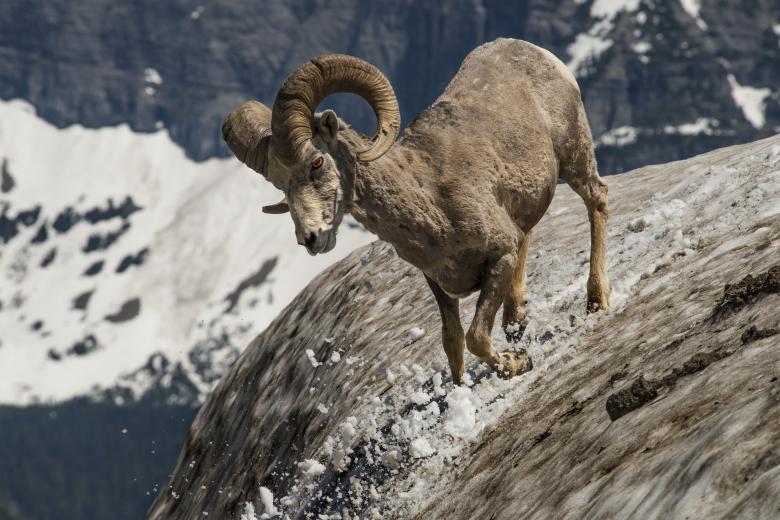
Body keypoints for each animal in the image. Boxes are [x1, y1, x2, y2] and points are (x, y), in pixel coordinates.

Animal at [222, 38, 610, 384]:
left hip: (575, 158)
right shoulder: (439, 284)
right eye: (281, 185)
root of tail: (537, 53)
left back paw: (596, 302)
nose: (311, 238)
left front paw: (518, 363)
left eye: (316, 161)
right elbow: (452, 343)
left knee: (598, 200)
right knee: (529, 233)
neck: (432, 204)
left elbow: (475, 338)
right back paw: (516, 322)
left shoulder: (500, 257)